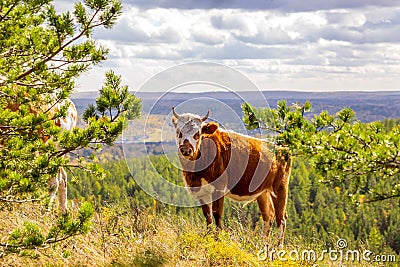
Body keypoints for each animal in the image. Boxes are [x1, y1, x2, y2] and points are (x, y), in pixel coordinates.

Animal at [171, 107, 290, 247]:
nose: (186, 150)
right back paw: (262, 244)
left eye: (198, 133)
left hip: (280, 187)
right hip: (263, 192)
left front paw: (217, 239)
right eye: (179, 131)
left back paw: (278, 246)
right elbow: (207, 215)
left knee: (281, 218)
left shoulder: (219, 188)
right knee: (269, 216)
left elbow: (217, 214)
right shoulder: (201, 191)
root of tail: (282, 147)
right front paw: (208, 237)